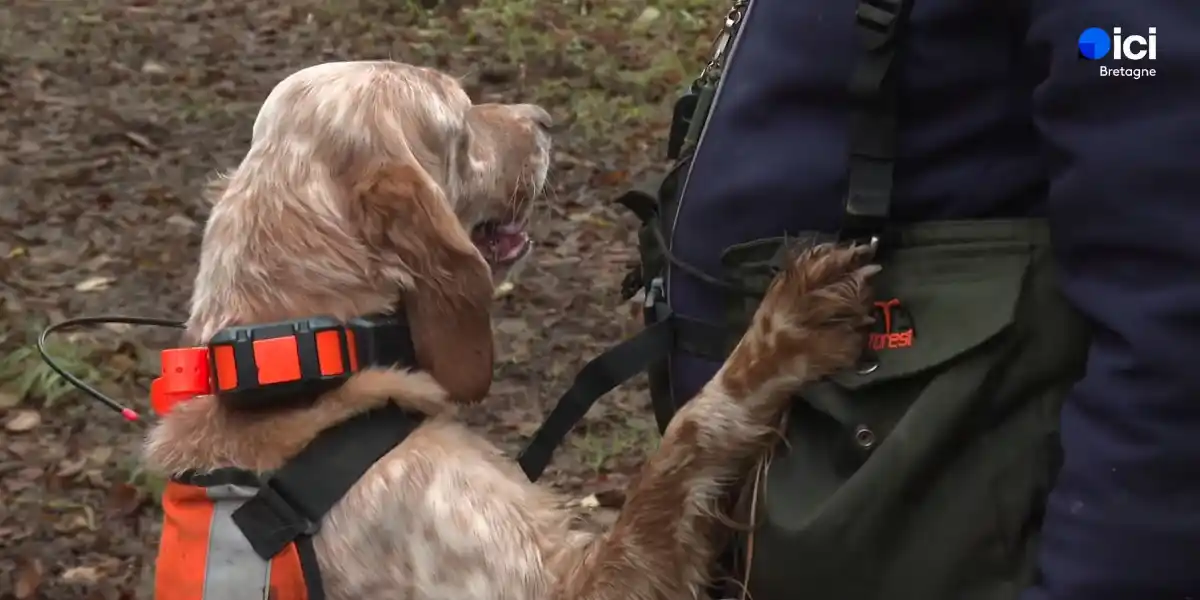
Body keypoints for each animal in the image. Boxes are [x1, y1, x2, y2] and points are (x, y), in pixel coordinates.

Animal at [145, 60, 883, 600]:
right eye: (459, 118)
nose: (545, 120)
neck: (303, 359)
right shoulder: (570, 584)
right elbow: (690, 434)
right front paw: (786, 332)